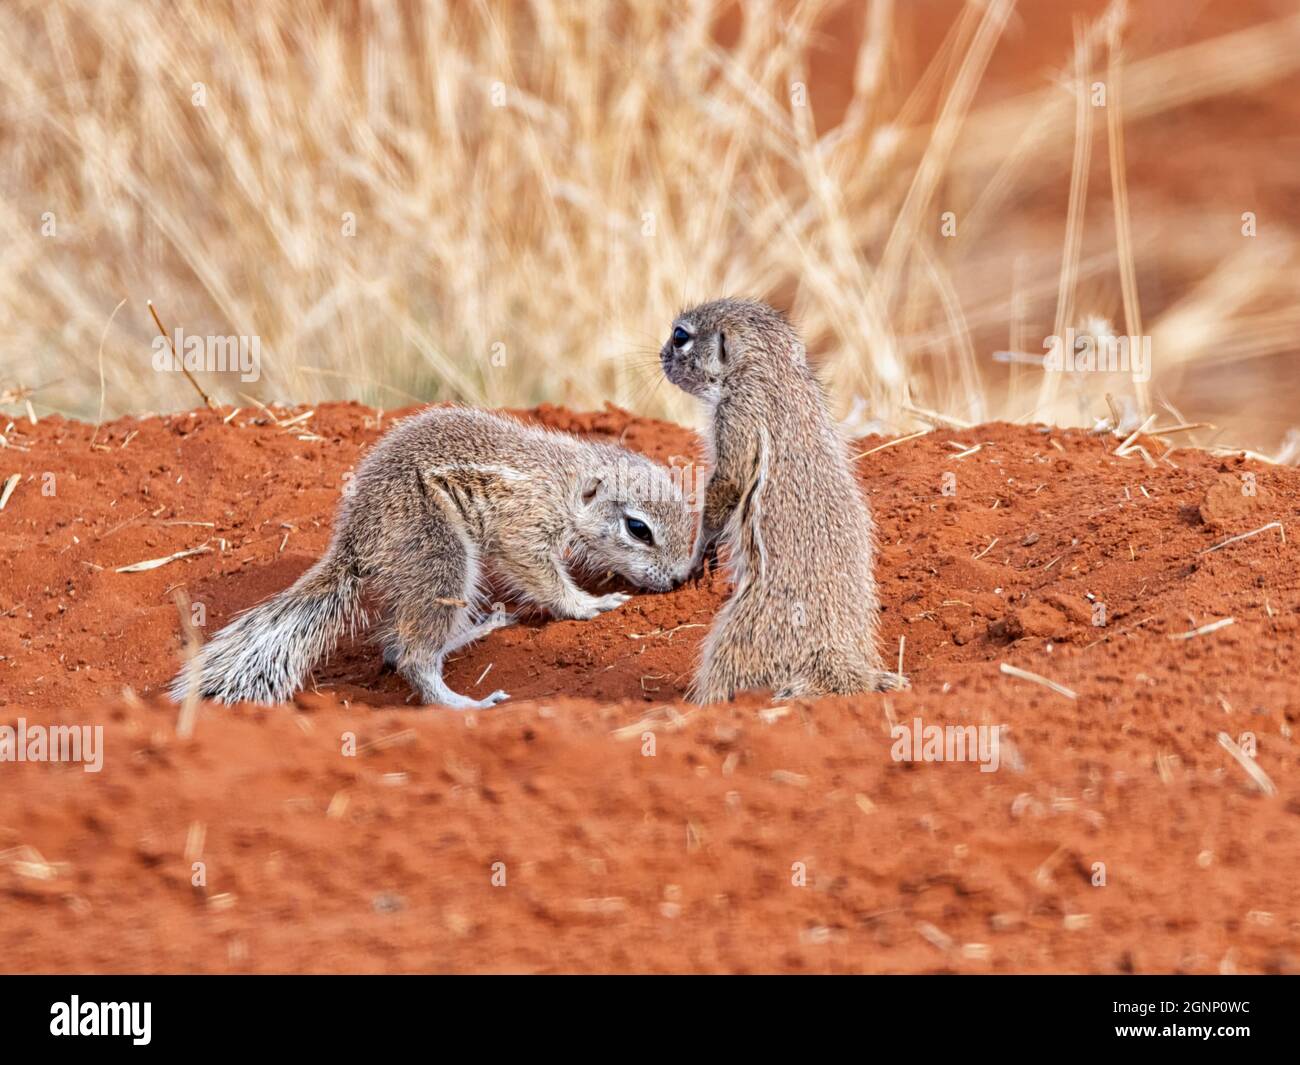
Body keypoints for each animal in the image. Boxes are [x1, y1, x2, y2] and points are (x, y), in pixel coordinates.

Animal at [175, 405, 702, 707]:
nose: (678, 580)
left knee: (395, 647)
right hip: (441, 555)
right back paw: (465, 703)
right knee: (410, 657)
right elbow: (543, 577)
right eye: (638, 529)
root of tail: (353, 541)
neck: (568, 482)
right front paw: (590, 605)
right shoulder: (525, 530)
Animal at [660, 297, 904, 707]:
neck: (773, 371)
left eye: (681, 335)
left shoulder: (736, 416)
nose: (661, 356)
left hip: (738, 635)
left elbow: (727, 485)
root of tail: (837, 655)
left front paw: (699, 552)